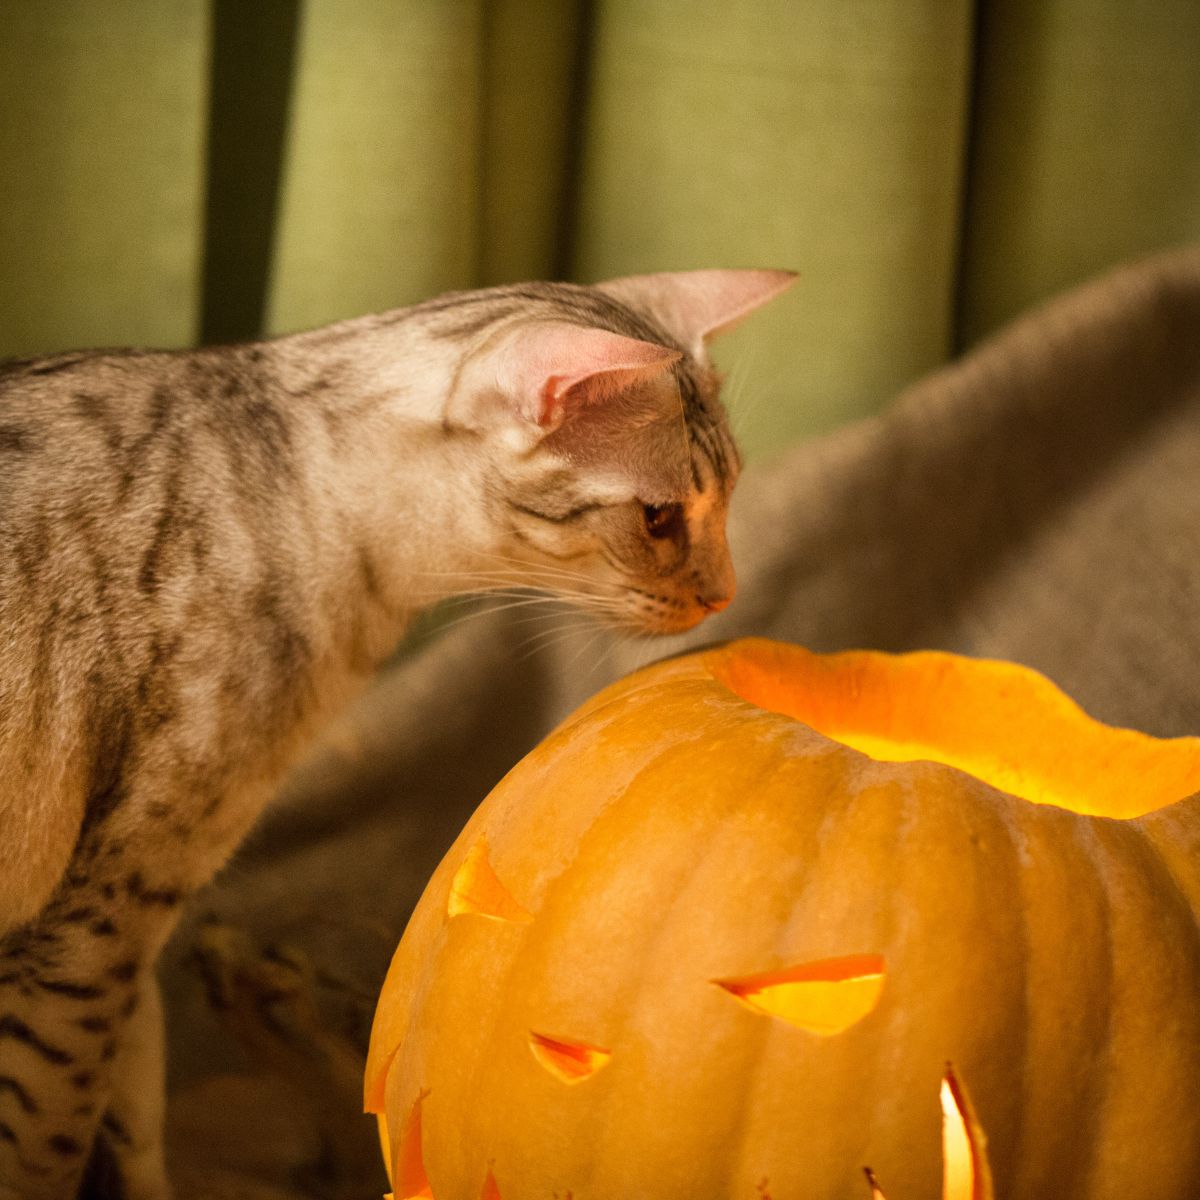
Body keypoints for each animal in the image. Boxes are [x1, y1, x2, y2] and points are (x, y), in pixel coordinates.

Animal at [0, 272, 796, 1200]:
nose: (724, 594)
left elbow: (133, 1098)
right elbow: (54, 1121)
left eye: (729, 497)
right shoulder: (106, 906)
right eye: (661, 518)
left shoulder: (118, 923)